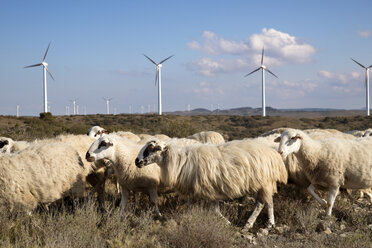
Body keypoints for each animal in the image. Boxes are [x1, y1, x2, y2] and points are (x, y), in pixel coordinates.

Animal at [134, 139, 288, 230]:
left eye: (153, 148)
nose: (137, 161)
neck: (179, 161)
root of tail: (274, 155)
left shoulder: (211, 190)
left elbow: (214, 210)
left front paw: (227, 223)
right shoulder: (194, 189)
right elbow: (190, 206)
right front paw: (188, 220)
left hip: (263, 181)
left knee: (262, 203)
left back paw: (251, 224)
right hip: (264, 182)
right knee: (268, 201)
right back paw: (267, 224)